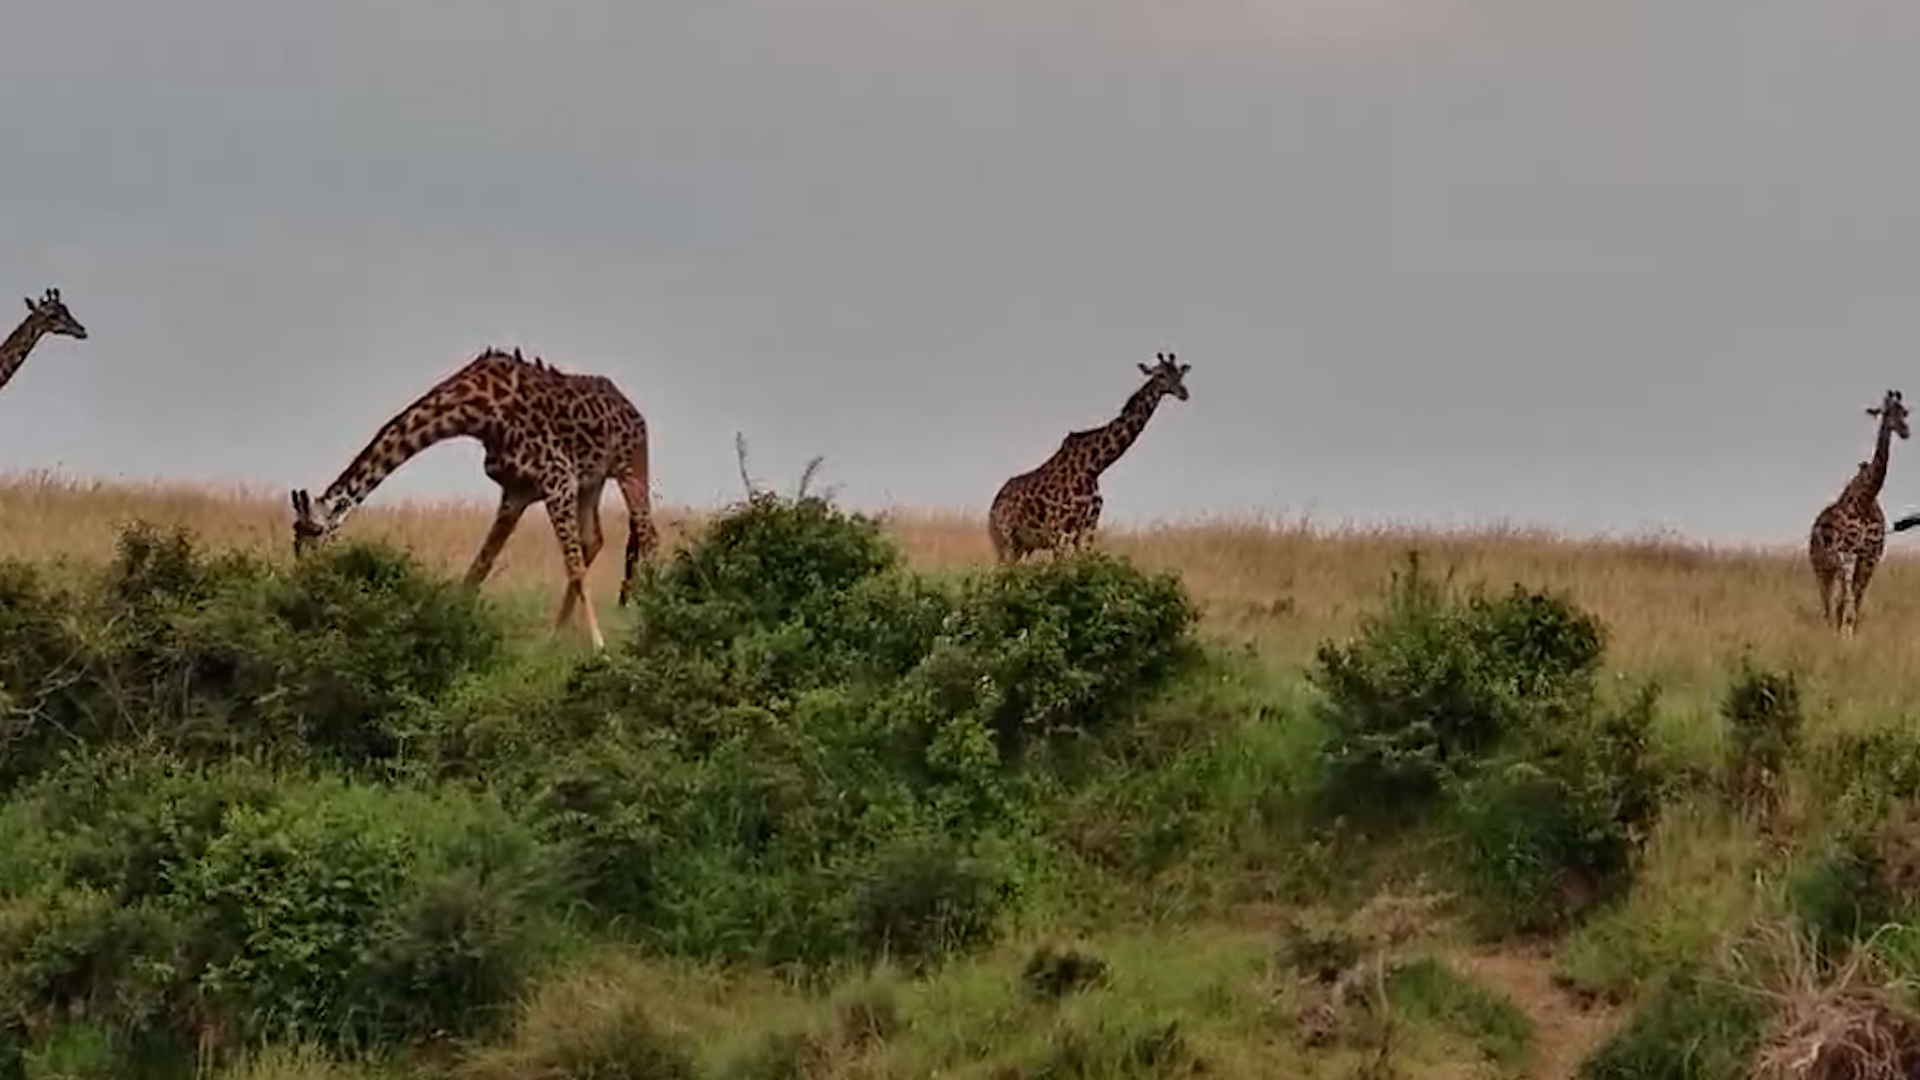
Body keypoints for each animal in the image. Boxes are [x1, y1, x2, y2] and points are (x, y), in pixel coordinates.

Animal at [288, 347, 659, 650]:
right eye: (295, 539)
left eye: (317, 533)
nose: (306, 581)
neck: (479, 413)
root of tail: (634, 409)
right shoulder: (517, 492)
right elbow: (478, 569)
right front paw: (451, 626)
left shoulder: (558, 479)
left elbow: (574, 567)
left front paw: (600, 647)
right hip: (591, 482)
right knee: (594, 538)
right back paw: (555, 637)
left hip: (630, 466)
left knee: (648, 536)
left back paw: (650, 622)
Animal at [987, 351, 1191, 563]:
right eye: (1160, 375)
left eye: (1179, 374)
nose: (1183, 393)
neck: (1093, 467)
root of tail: (992, 508)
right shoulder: (1060, 531)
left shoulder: (1088, 529)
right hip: (1005, 542)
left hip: (1023, 546)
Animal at [1809, 389, 1909, 637]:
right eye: (1885, 413)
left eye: (1904, 412)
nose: (1905, 431)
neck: (1866, 501)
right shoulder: (1846, 553)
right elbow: (1848, 598)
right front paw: (1845, 633)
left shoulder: (1870, 556)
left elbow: (1857, 597)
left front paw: (1851, 632)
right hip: (1820, 567)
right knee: (1827, 601)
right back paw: (1830, 628)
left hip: (1832, 568)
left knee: (1837, 600)